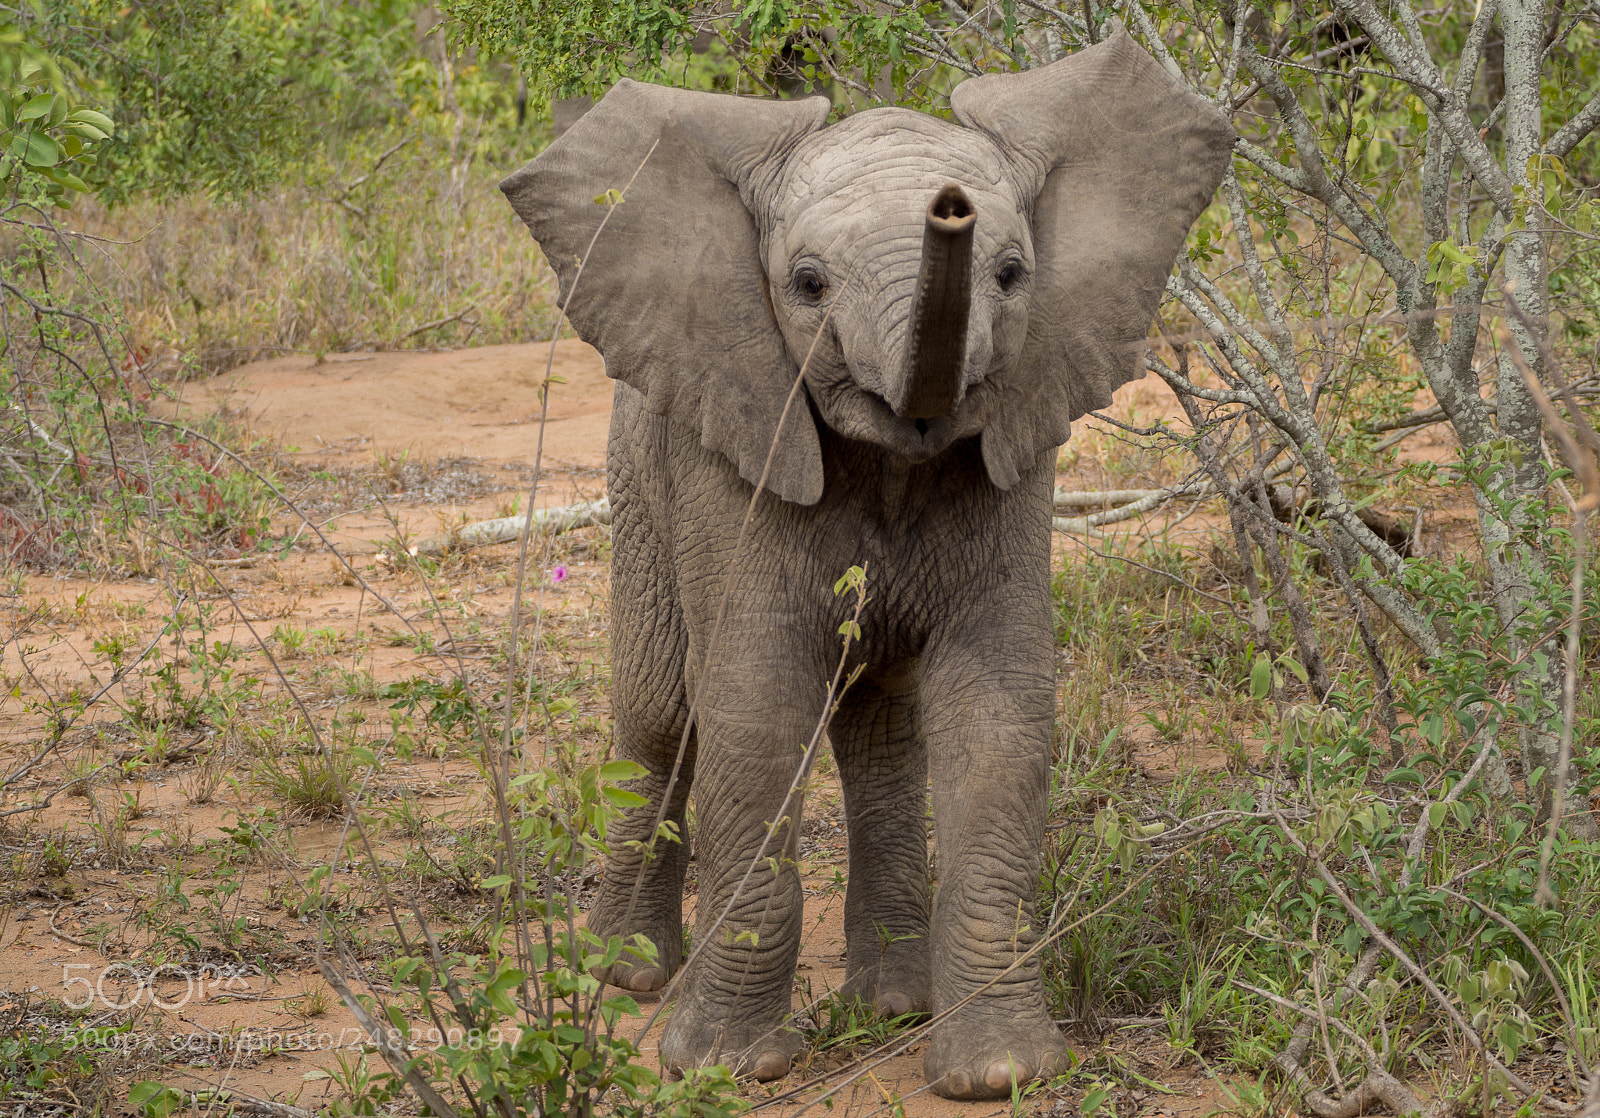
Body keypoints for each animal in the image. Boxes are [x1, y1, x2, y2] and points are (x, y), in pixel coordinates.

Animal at [501, 28, 1231, 1100]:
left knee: (879, 733)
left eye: (1012, 274)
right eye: (807, 284)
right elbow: (754, 707)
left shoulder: (1017, 443)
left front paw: (998, 1073)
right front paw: (727, 1068)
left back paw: (890, 1003)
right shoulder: (741, 450)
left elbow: (999, 713)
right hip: (636, 479)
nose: (949, 206)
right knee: (659, 718)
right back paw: (628, 976)